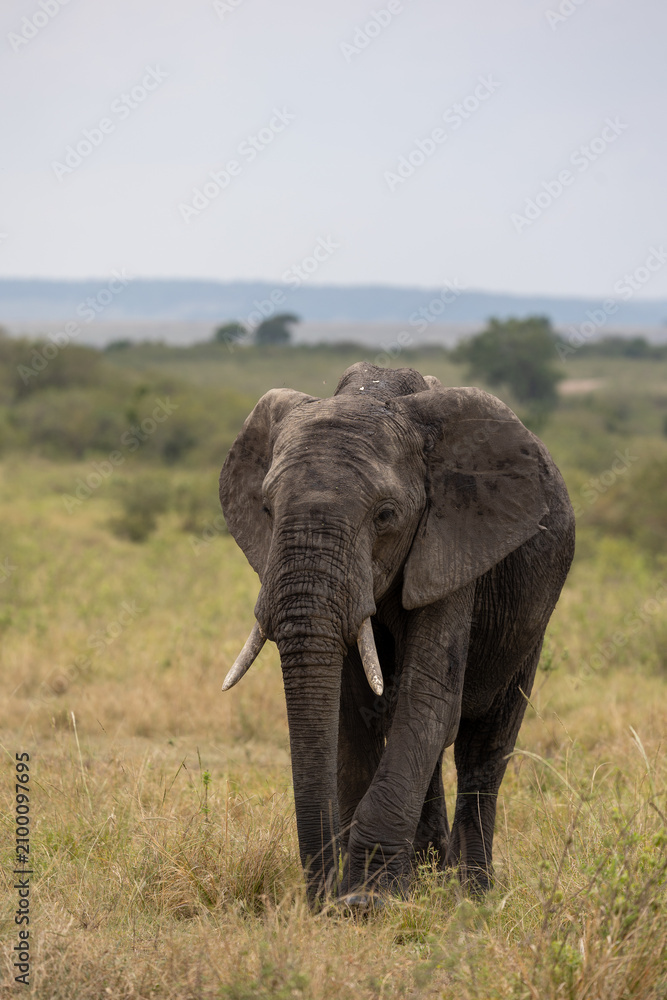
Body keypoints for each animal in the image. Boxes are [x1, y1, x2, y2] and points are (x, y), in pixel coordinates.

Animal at [219, 362, 575, 903]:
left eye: (386, 515)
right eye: (266, 507)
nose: (321, 896)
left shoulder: (455, 545)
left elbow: (428, 698)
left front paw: (367, 898)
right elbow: (355, 711)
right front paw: (360, 894)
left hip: (533, 616)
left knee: (484, 747)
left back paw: (470, 892)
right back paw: (427, 874)